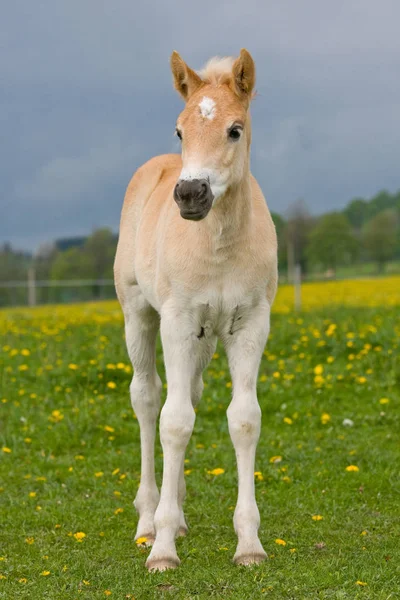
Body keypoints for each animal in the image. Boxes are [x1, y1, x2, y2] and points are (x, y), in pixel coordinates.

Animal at [114, 49, 278, 568]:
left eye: (235, 129)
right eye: (180, 130)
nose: (190, 195)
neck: (219, 244)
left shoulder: (250, 323)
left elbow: (242, 419)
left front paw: (249, 544)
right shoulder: (178, 322)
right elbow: (173, 421)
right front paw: (162, 549)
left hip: (205, 337)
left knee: (189, 395)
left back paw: (179, 511)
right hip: (139, 317)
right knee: (149, 399)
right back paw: (149, 519)